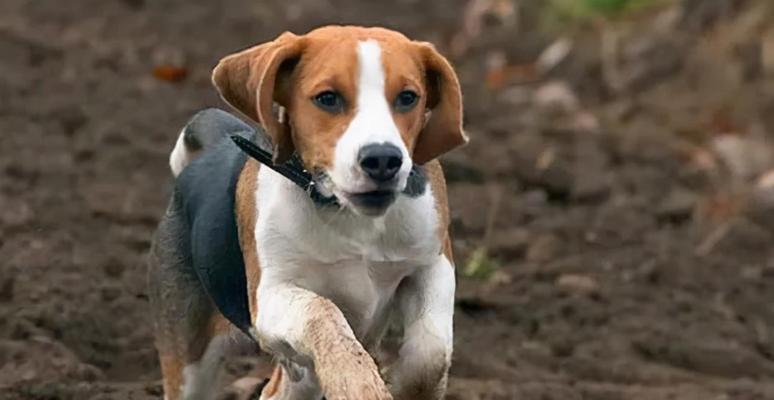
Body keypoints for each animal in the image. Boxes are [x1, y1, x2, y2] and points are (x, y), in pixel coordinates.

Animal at [149, 25, 470, 400]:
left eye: (408, 97)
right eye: (327, 98)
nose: (382, 159)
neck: (348, 215)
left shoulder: (432, 263)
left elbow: (430, 353)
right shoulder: (271, 297)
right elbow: (322, 311)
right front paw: (357, 382)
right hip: (190, 356)